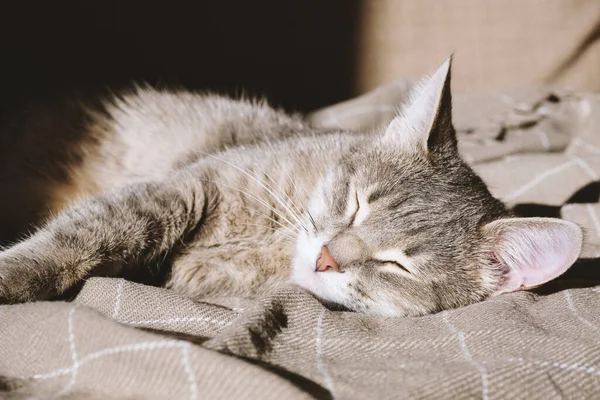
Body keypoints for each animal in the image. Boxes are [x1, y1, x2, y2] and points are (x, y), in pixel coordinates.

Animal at [0, 57, 584, 318]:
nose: (326, 258)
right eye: (356, 204)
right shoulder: (184, 188)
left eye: (397, 265)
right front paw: (14, 275)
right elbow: (85, 236)